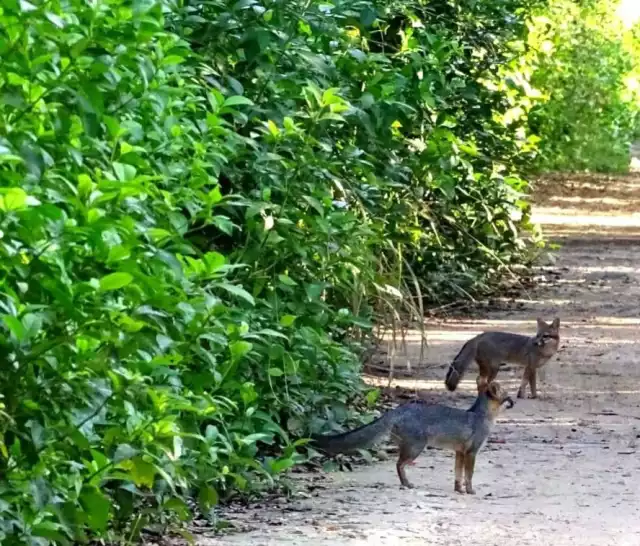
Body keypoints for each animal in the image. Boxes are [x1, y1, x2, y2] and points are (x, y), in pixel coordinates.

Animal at [312, 381, 514, 494]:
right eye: (508, 397)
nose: (514, 401)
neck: (482, 416)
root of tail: (398, 409)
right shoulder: (472, 451)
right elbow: (469, 474)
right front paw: (470, 490)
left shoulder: (459, 452)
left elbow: (458, 474)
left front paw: (458, 489)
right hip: (416, 448)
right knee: (399, 464)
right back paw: (407, 484)